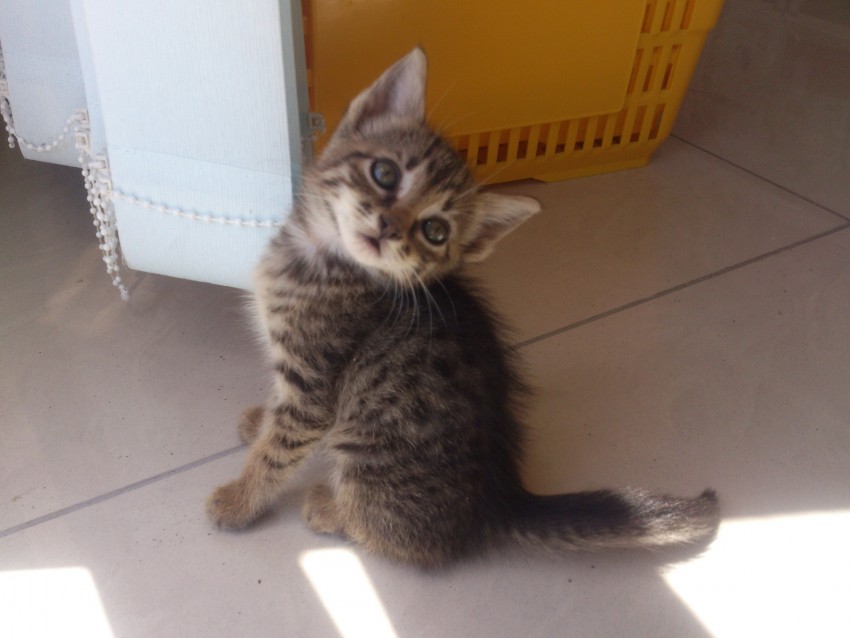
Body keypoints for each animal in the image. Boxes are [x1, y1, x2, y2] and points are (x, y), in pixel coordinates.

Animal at [206, 48, 719, 568]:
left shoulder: (314, 386)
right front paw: (258, 421)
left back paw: (331, 509)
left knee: (402, 536)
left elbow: (279, 450)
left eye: (435, 231)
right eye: (385, 173)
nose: (389, 227)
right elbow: (275, 417)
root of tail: (496, 499)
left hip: (366, 447)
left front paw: (238, 498)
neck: (318, 257)